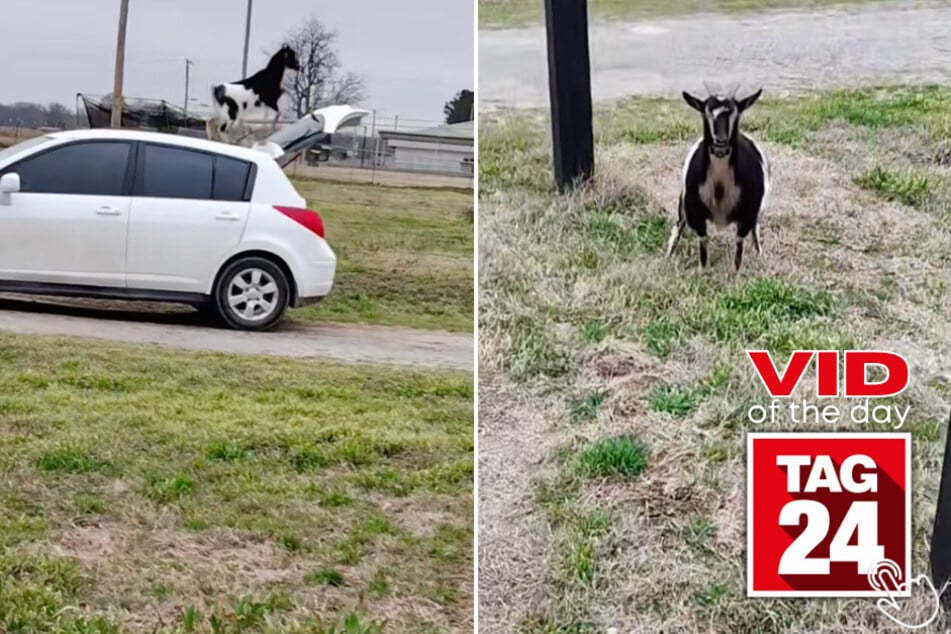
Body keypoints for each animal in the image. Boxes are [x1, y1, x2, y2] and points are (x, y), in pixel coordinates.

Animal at [664, 83, 768, 270]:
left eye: (736, 114)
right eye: (705, 113)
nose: (721, 143)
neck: (720, 188)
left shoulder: (747, 215)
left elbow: (738, 250)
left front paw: (735, 275)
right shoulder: (695, 213)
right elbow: (703, 246)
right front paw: (703, 272)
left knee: (755, 230)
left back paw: (759, 254)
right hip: (683, 204)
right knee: (678, 227)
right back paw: (668, 257)